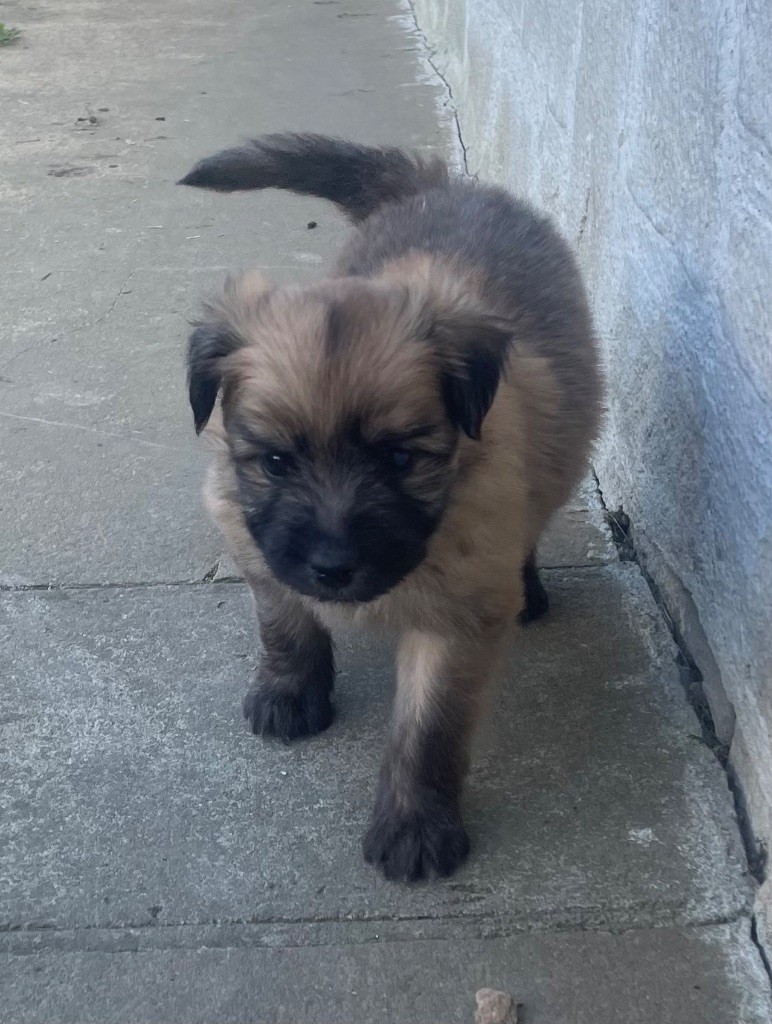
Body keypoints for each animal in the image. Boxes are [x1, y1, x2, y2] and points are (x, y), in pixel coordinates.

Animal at [179, 136, 602, 880]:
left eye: (400, 459)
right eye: (276, 462)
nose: (333, 567)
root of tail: (438, 186)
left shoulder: (458, 617)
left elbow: (427, 731)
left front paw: (414, 826)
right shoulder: (255, 541)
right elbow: (283, 625)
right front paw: (290, 693)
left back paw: (531, 590)